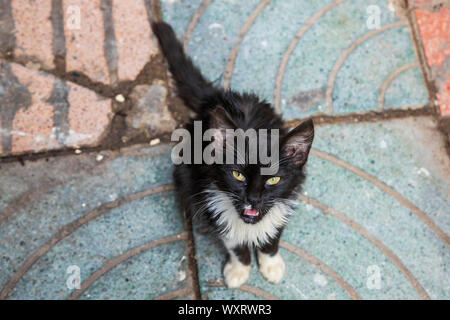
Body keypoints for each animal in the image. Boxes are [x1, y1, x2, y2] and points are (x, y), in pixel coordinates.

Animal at [151, 21, 312, 288]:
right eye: (238, 175)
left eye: (273, 179)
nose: (253, 199)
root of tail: (217, 98)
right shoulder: (209, 196)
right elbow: (233, 239)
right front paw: (239, 270)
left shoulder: (287, 195)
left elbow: (273, 233)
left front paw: (271, 264)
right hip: (185, 172)